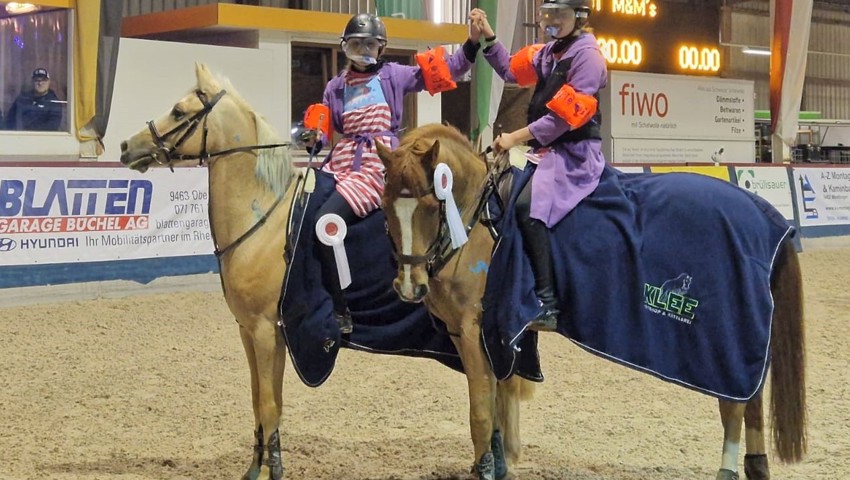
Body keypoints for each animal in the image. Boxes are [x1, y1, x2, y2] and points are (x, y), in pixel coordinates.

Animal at [117, 64, 528, 480]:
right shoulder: (251, 331)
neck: (265, 218)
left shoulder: (265, 331)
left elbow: (269, 404)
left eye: (179, 111)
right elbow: (260, 400)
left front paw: (274, 471)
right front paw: (255, 467)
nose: (125, 147)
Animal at [374, 124, 804, 480]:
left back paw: (728, 470)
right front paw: (497, 461)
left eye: (430, 206)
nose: (409, 285)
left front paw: (485, 469)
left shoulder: (473, 328)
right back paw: (756, 465)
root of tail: (762, 214)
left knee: (733, 405)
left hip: (723, 344)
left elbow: (481, 408)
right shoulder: (487, 332)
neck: (476, 221)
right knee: (751, 399)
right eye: (386, 204)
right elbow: (496, 399)